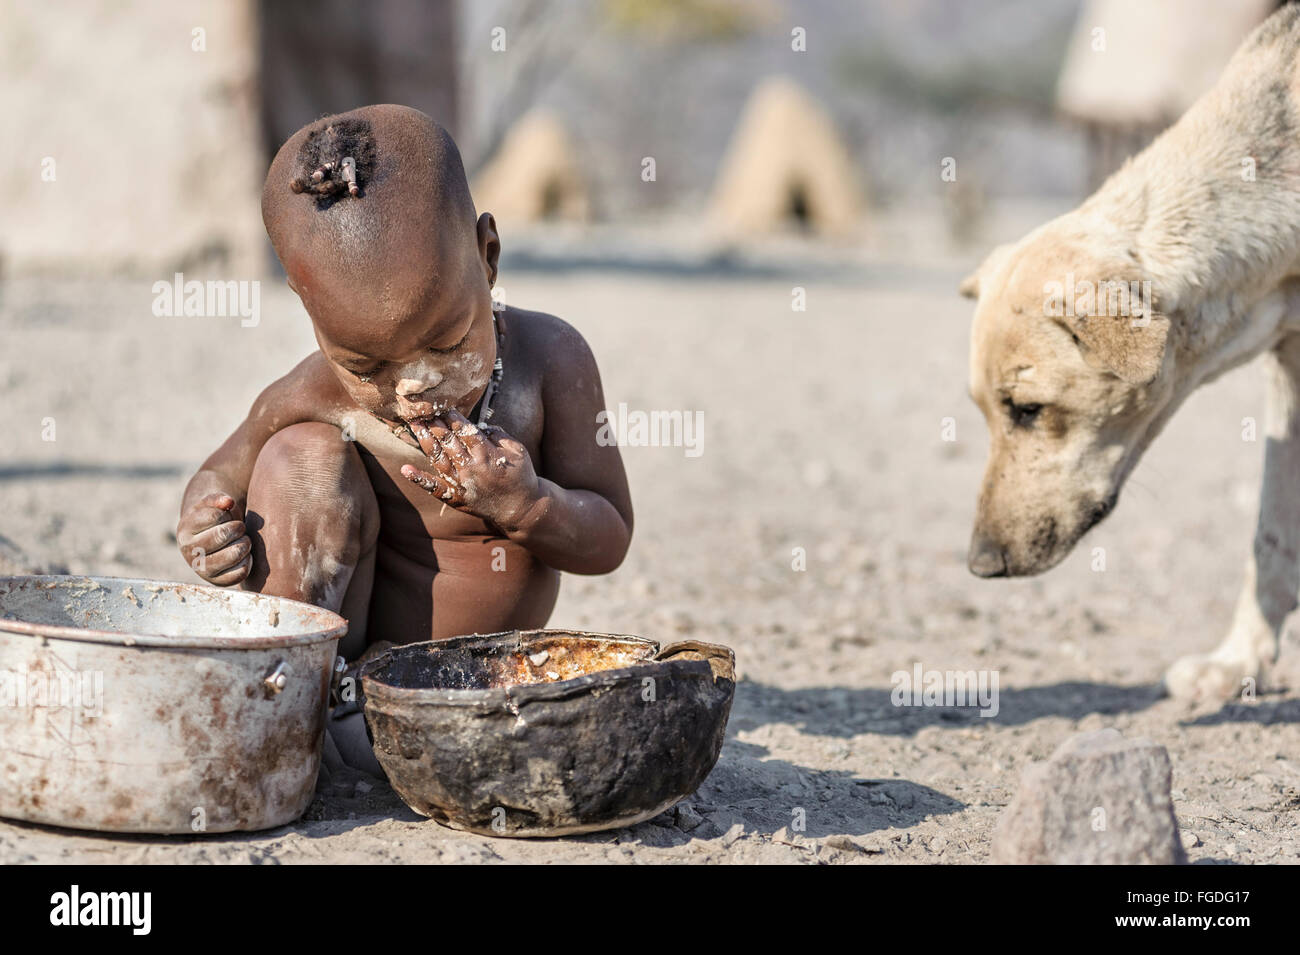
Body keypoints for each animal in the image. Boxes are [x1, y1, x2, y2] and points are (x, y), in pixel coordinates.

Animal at [961, 1, 1300, 701]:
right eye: (982, 411)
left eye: (1028, 410)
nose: (981, 564)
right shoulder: (1290, 364)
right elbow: (1272, 534)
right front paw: (1239, 664)